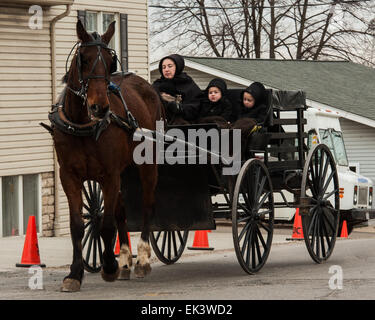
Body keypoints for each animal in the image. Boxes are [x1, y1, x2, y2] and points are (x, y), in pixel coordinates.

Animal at [51, 18, 162, 292]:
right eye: (83, 58)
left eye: (111, 61)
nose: (99, 107)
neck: (82, 125)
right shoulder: (69, 176)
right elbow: (78, 226)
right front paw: (75, 273)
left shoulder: (109, 175)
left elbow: (107, 224)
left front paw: (109, 266)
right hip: (125, 171)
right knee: (122, 210)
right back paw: (125, 260)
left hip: (147, 165)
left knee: (147, 204)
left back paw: (142, 259)